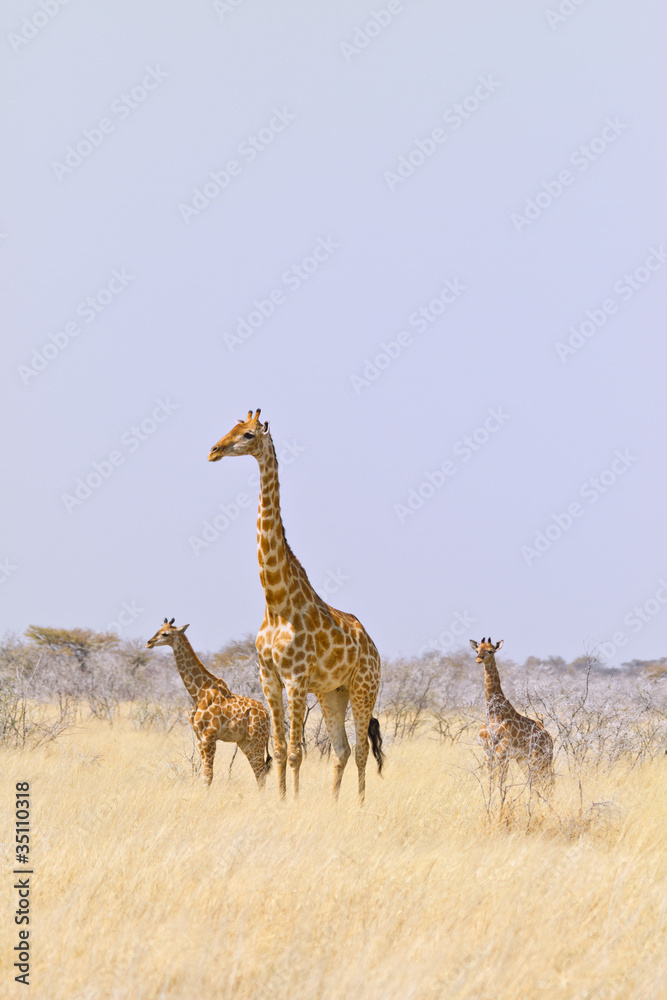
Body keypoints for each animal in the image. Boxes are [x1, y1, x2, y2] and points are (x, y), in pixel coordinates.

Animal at [145, 618, 272, 787]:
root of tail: (267, 715)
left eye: (165, 633)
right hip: (245, 742)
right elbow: (204, 775)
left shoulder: (209, 736)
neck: (198, 693)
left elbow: (207, 776)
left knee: (261, 772)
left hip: (256, 740)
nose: (149, 642)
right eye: (158, 630)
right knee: (259, 773)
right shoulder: (200, 738)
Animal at [208, 409, 384, 801]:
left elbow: (295, 752)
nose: (213, 451)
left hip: (364, 688)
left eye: (247, 435)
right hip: (334, 692)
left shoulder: (296, 678)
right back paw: (333, 803)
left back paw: (361, 805)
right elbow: (279, 747)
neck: (276, 601)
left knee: (362, 749)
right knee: (342, 749)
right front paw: (281, 800)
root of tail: (374, 648)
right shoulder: (269, 678)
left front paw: (295, 802)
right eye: (230, 427)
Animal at [469, 637, 554, 789]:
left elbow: (501, 781)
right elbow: (491, 780)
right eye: (477, 650)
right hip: (524, 759)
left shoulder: (502, 751)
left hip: (540, 757)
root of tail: (549, 738)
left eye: (491, 651)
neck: (493, 713)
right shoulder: (487, 752)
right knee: (538, 781)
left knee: (547, 781)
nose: (479, 659)